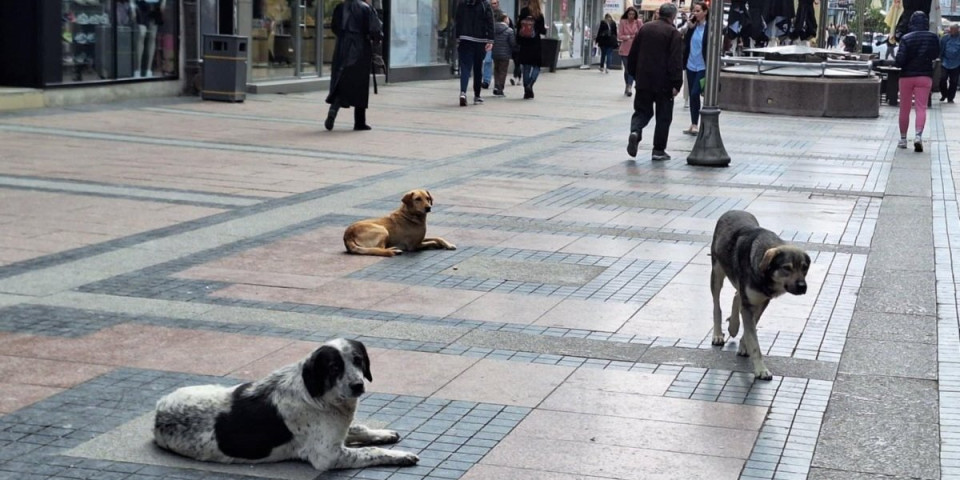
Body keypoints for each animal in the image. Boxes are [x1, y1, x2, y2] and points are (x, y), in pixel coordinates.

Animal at [153, 340, 416, 470]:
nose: (357, 385)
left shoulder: (338, 431)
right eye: (334, 368)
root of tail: (157, 415)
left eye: (358, 360)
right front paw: (401, 455)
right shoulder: (327, 455)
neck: (317, 396)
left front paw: (382, 434)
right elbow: (370, 451)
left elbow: (358, 428)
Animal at [712, 212, 808, 380]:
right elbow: (754, 340)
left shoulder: (762, 302)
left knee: (737, 296)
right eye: (786, 268)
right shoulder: (749, 304)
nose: (803, 287)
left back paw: (733, 326)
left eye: (804, 268)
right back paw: (717, 334)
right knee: (717, 305)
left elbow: (751, 328)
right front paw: (761, 369)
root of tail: (732, 211)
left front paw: (744, 345)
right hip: (717, 273)